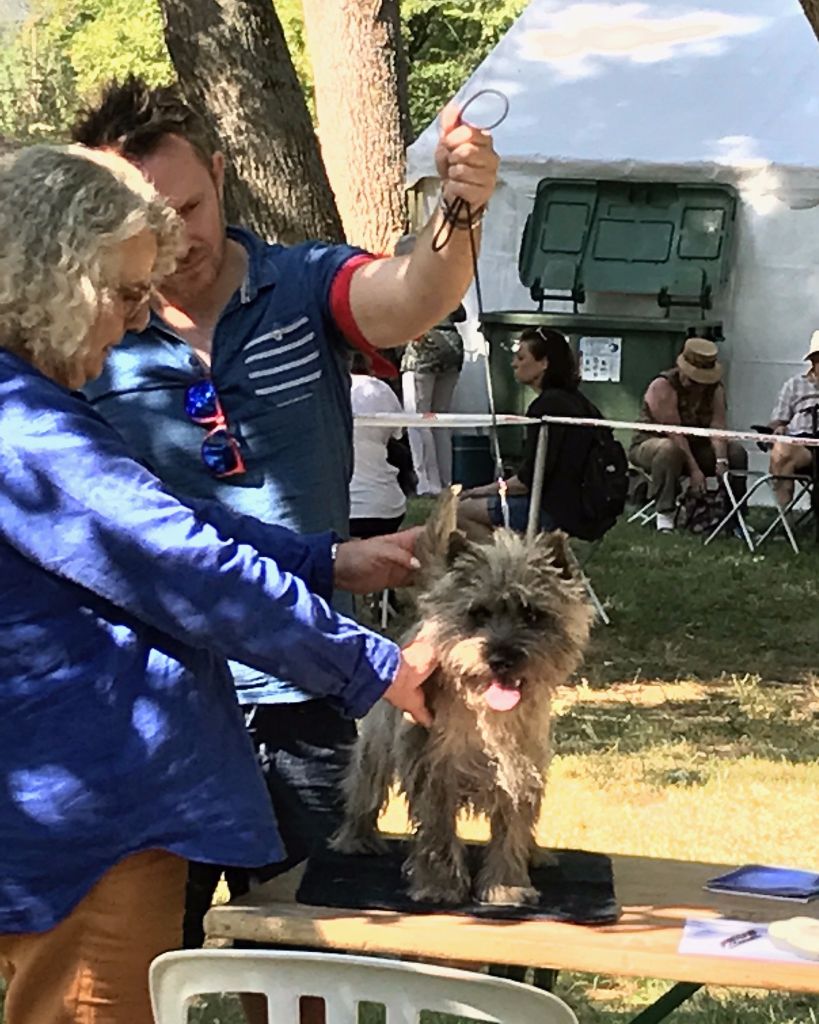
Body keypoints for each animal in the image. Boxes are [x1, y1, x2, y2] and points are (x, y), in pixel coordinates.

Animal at [329, 491, 593, 909]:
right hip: (377, 745)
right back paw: (357, 839)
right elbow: (438, 834)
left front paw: (506, 886)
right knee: (364, 786)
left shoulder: (520, 772)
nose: (501, 656)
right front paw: (440, 886)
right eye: (477, 613)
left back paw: (536, 853)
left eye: (533, 614)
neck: (486, 713)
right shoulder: (434, 772)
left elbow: (512, 832)